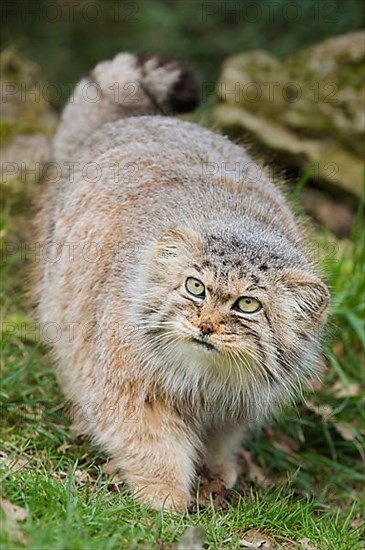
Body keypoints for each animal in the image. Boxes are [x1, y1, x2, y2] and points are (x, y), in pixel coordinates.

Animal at [35, 52, 328, 512]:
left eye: (248, 304)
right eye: (195, 287)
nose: (205, 326)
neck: (205, 380)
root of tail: (136, 119)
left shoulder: (233, 408)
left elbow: (219, 441)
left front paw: (217, 471)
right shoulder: (130, 387)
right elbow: (150, 443)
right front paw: (164, 498)